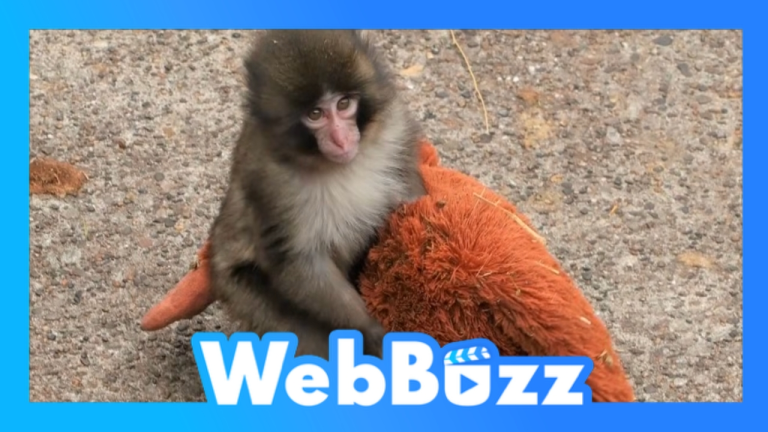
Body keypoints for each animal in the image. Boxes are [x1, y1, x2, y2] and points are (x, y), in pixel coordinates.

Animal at [207, 30, 427, 360]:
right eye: (315, 114)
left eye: (344, 104)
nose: (341, 139)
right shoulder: (271, 182)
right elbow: (297, 262)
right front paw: (372, 330)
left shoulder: (394, 128)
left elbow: (410, 192)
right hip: (243, 291)